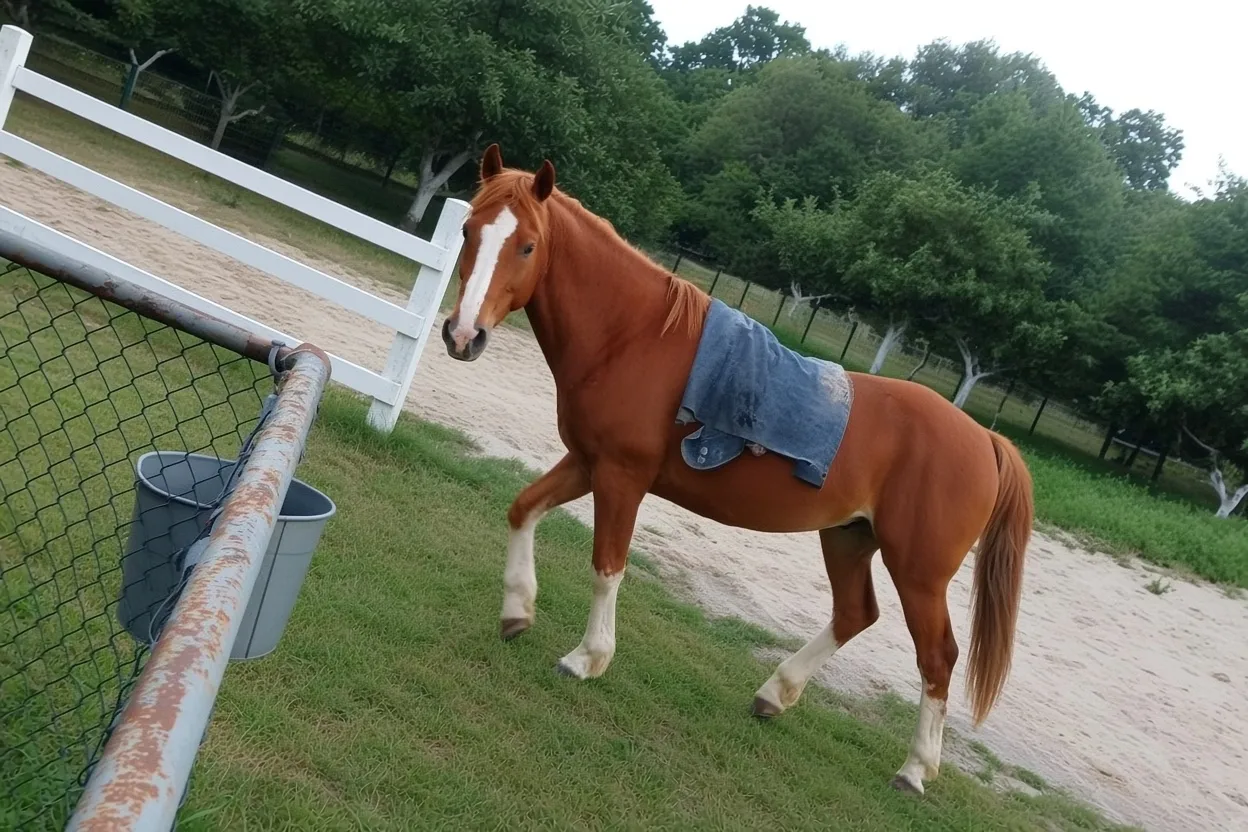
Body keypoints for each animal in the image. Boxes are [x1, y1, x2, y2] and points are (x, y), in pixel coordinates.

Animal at [439, 143, 1033, 796]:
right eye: (467, 231)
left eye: (526, 246)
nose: (463, 334)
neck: (632, 338)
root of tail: (984, 438)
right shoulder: (587, 463)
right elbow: (523, 508)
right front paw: (517, 612)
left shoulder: (621, 478)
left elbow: (607, 566)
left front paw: (587, 658)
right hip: (848, 538)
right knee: (855, 614)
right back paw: (776, 692)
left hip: (919, 573)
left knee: (938, 657)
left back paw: (915, 768)